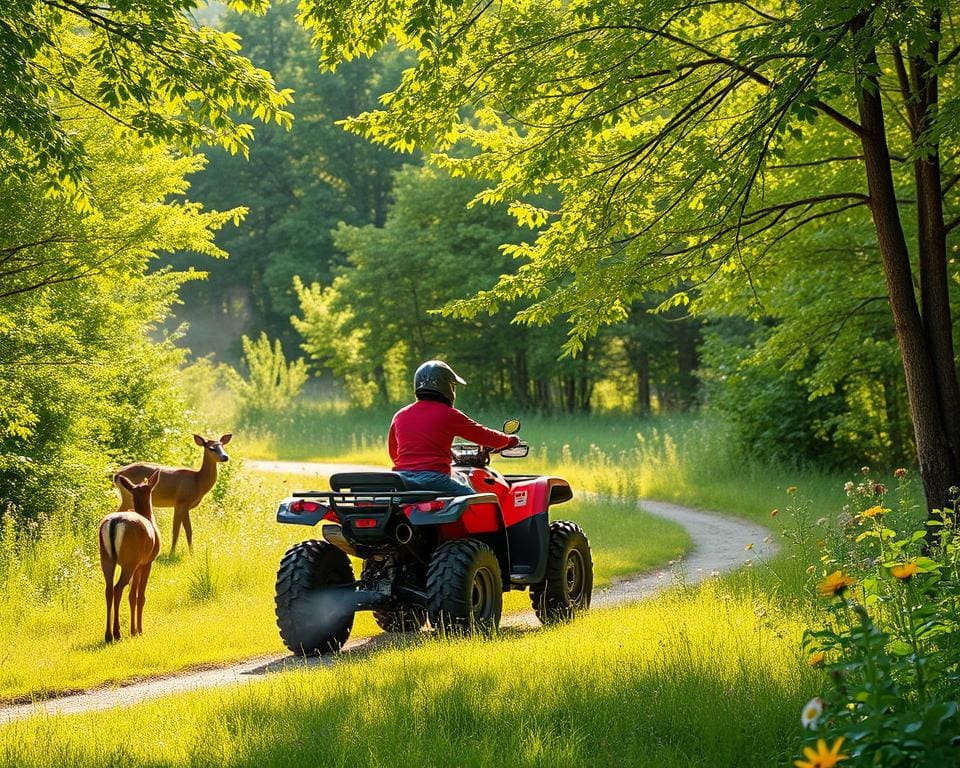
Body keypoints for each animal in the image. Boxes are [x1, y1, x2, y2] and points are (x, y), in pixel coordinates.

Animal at [99, 472, 161, 644]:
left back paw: (108, 635)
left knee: (108, 589)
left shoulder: (138, 565)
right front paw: (138, 630)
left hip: (106, 558)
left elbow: (132, 595)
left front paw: (133, 630)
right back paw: (117, 632)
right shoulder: (147, 562)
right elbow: (140, 597)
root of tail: (114, 522)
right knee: (118, 588)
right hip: (129, 561)